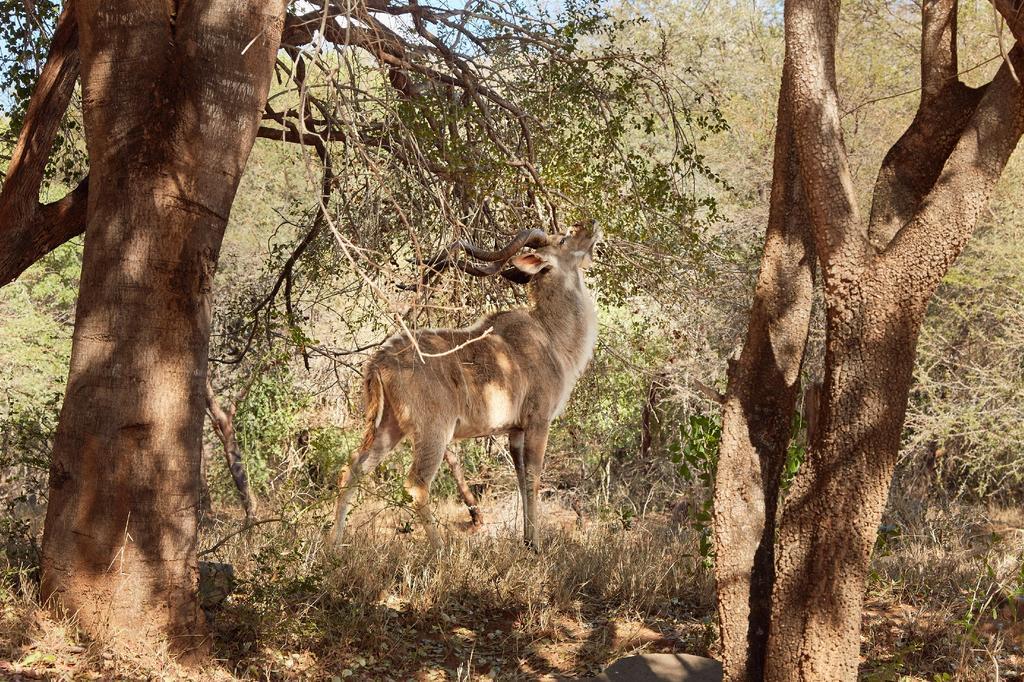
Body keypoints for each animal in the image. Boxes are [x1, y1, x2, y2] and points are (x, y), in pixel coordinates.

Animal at [331, 223, 598, 548]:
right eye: (563, 239)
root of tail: (379, 361)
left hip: (387, 428)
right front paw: (534, 545)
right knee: (416, 484)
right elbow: (533, 477)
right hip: (433, 431)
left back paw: (332, 545)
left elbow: (521, 477)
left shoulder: (515, 431)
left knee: (352, 470)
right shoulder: (538, 420)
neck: (550, 336)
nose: (591, 228)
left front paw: (525, 541)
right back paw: (439, 550)